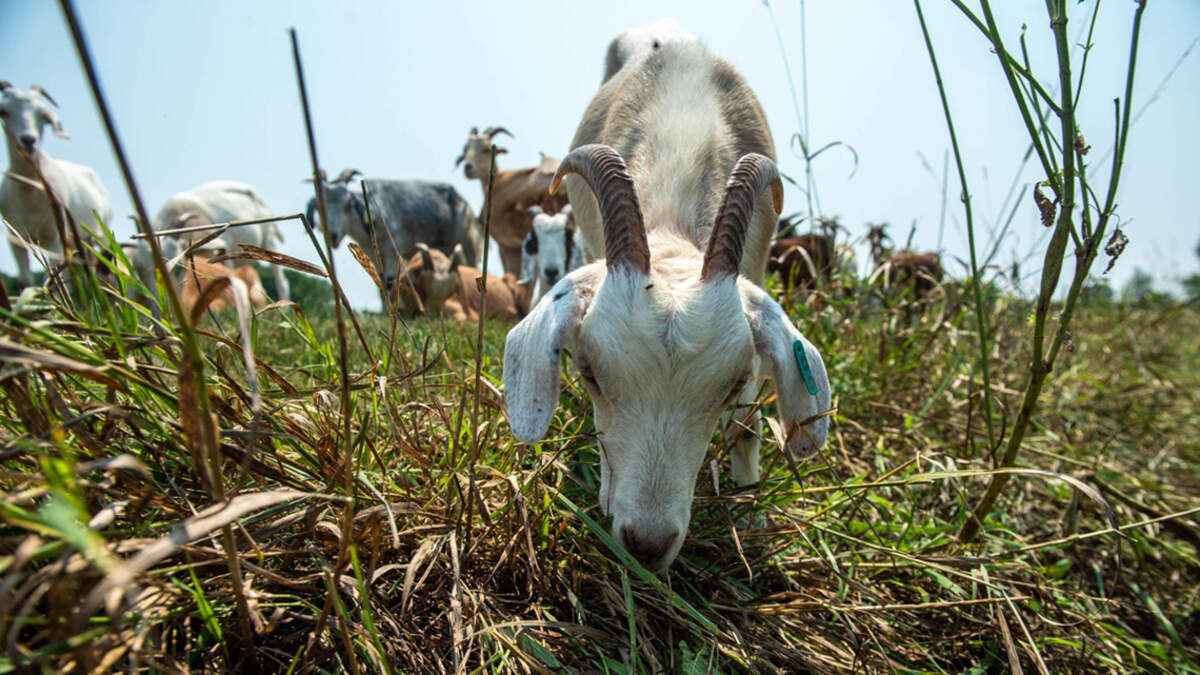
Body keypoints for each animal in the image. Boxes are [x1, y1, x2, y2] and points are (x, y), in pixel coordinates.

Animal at [0, 82, 112, 286]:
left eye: (43, 115)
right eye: (4, 111)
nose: (28, 140)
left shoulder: (56, 235)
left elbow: (51, 277)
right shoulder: (14, 237)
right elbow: (26, 281)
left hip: (99, 234)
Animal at [306, 170, 483, 303]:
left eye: (348, 205)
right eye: (318, 207)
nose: (332, 235)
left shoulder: (392, 248)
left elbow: (390, 281)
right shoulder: (371, 252)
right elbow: (380, 283)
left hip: (467, 244)